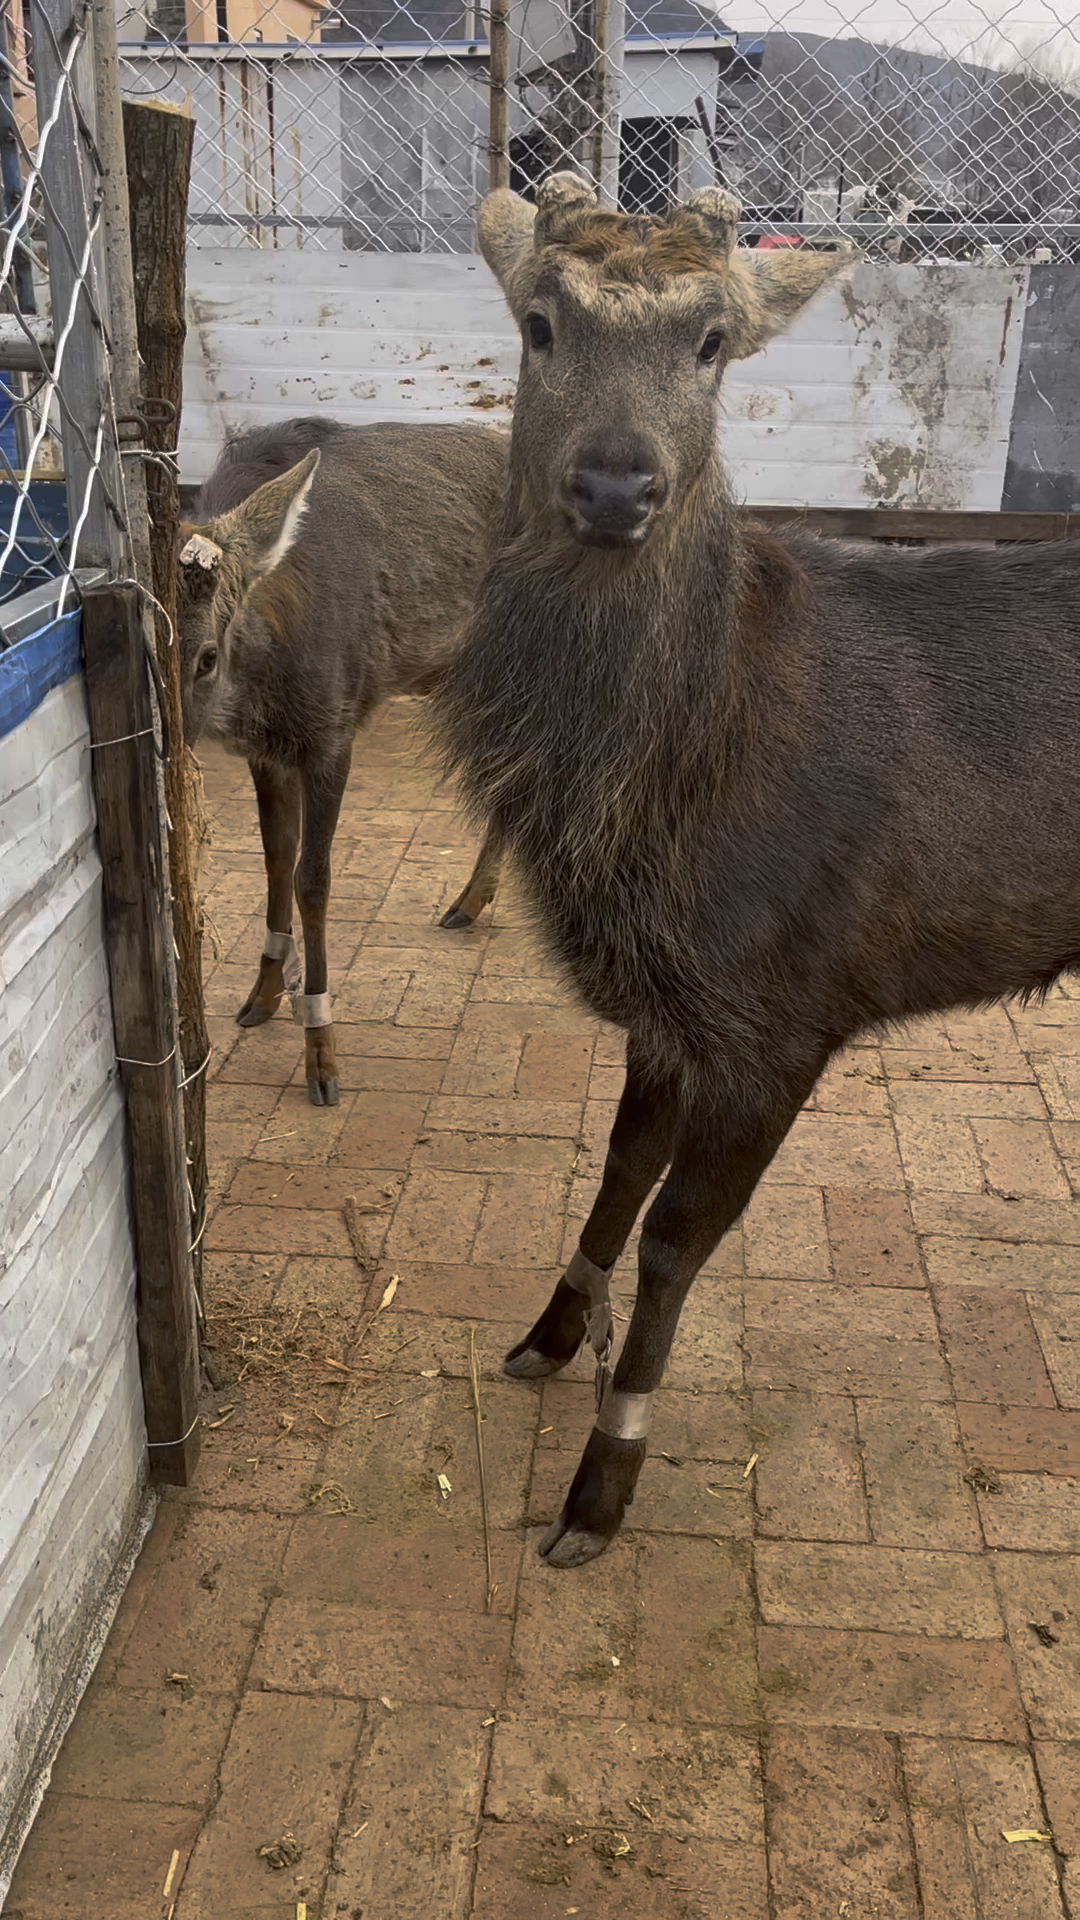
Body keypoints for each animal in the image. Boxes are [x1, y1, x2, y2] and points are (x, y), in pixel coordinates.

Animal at [178, 420, 507, 1113]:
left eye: (207, 656)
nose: (179, 745)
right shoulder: (268, 754)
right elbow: (276, 858)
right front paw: (261, 995)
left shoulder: (333, 730)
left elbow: (315, 878)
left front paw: (322, 1058)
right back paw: (469, 900)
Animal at [432, 172, 1076, 1566]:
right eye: (540, 322)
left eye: (713, 341)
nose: (615, 483)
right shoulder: (669, 1010)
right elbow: (617, 1170)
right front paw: (544, 1334)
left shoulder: (788, 1010)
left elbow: (678, 1240)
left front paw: (600, 1486)